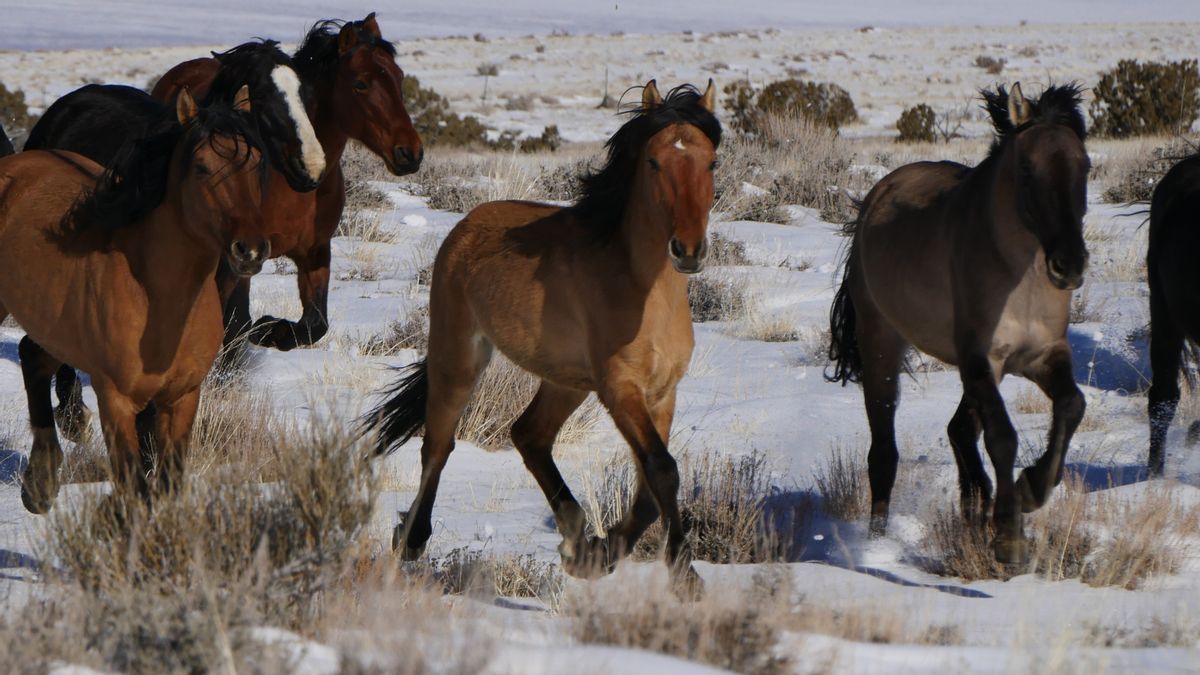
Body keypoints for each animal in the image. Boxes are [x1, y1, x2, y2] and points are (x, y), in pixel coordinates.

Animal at [3, 88, 271, 512]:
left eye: (258, 164)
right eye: (201, 167)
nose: (251, 250)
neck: (157, 297)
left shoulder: (182, 398)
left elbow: (167, 482)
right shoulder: (116, 399)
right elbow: (134, 484)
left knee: (33, 355)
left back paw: (40, 484)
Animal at [363, 81, 719, 596]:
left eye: (712, 162)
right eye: (654, 162)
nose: (687, 250)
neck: (643, 289)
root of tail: (467, 223)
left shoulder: (661, 393)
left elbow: (652, 486)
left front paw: (599, 555)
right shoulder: (620, 390)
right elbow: (662, 470)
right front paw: (684, 576)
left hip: (566, 383)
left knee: (529, 435)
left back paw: (576, 535)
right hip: (459, 357)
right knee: (439, 445)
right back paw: (410, 538)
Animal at [826, 83, 1090, 563]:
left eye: (1085, 166)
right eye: (1027, 169)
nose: (1070, 264)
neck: (1020, 277)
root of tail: (876, 196)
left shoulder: (1042, 355)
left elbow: (1071, 405)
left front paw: (1029, 489)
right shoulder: (980, 358)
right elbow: (1002, 436)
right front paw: (1008, 533)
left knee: (958, 429)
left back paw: (974, 501)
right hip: (881, 345)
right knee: (884, 454)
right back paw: (877, 543)